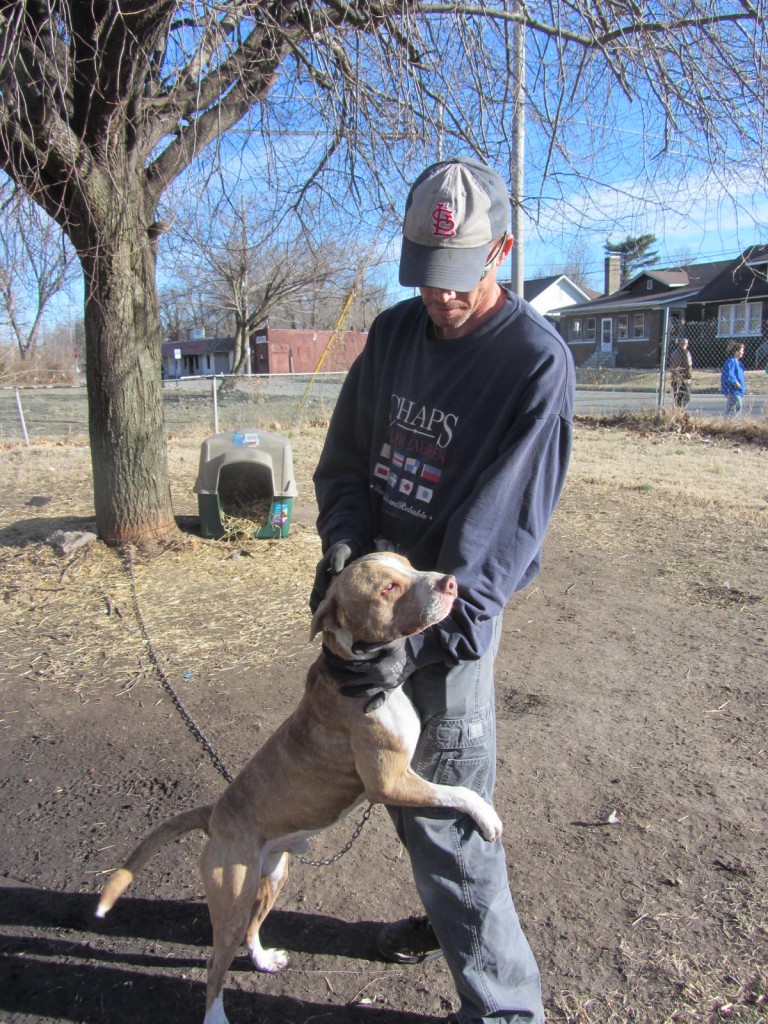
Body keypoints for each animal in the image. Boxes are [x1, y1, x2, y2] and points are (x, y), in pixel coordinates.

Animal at [97, 552, 505, 1024]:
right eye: (388, 587)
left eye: (407, 563)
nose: (451, 583)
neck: (360, 670)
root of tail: (215, 813)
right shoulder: (389, 781)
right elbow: (457, 792)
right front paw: (486, 816)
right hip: (231, 895)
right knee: (215, 965)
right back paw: (216, 1014)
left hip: (272, 875)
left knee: (251, 929)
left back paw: (262, 959)